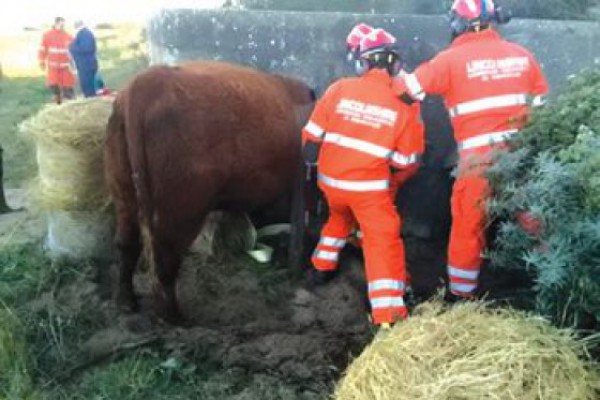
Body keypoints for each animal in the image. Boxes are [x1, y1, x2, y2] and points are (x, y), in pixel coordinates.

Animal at [104, 60, 314, 322]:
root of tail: (145, 84)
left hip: (123, 190)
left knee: (127, 244)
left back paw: (126, 302)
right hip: (180, 208)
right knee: (165, 259)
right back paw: (174, 318)